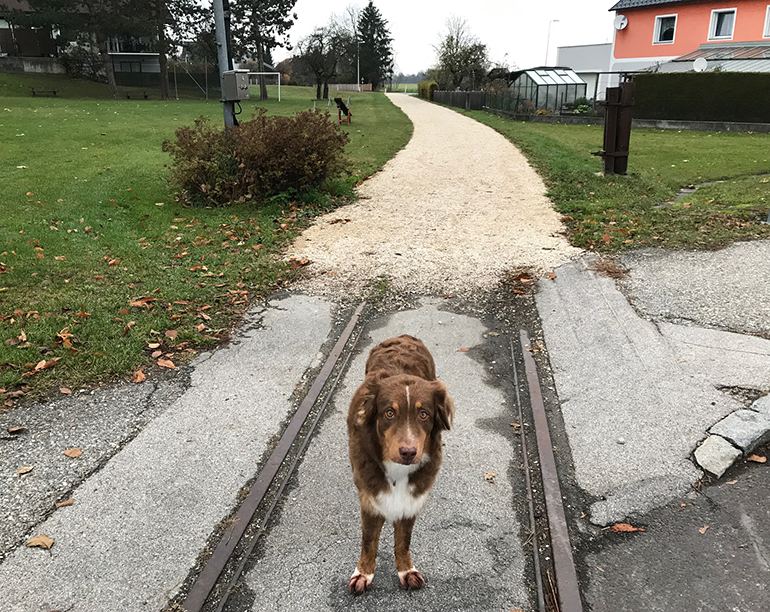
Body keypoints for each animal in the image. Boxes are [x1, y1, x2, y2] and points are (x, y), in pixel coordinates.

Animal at [344, 334, 452, 592]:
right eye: (389, 413)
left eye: (424, 414)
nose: (408, 452)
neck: (397, 471)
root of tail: (402, 336)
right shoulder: (370, 499)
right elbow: (369, 541)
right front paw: (363, 573)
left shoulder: (411, 500)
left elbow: (404, 540)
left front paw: (406, 570)